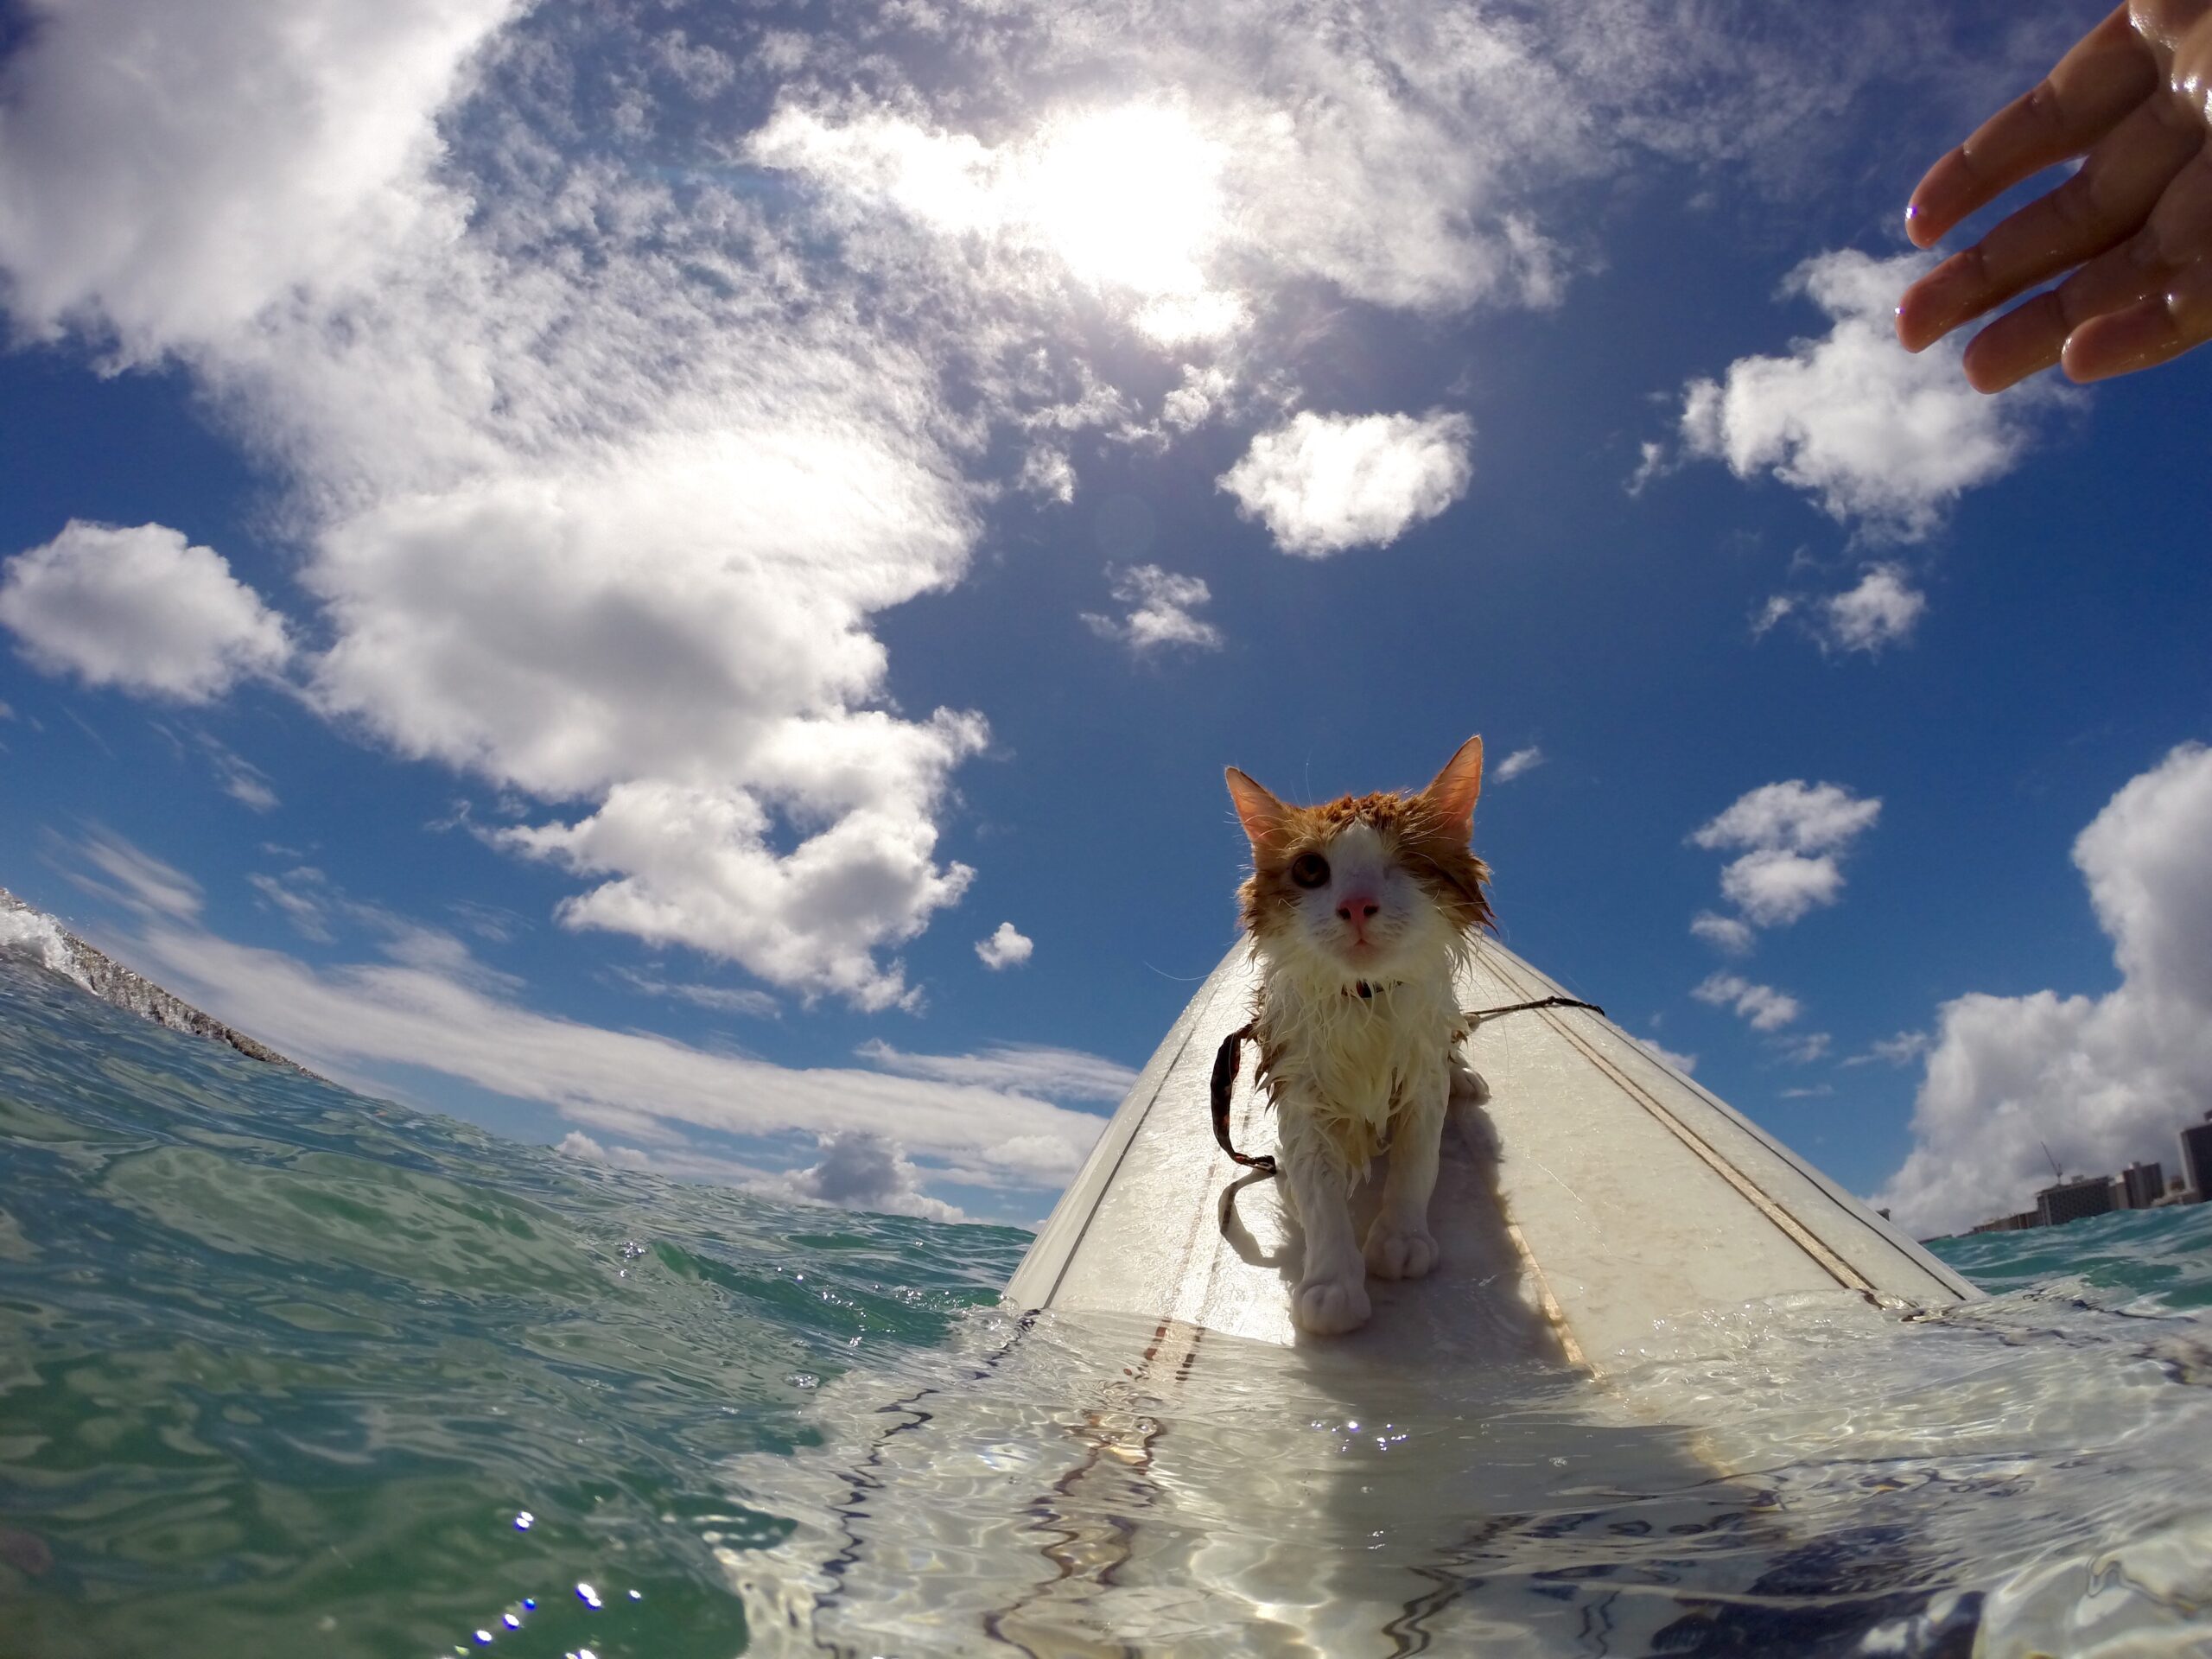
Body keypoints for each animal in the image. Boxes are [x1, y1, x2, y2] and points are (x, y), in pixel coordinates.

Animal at [1221, 739, 1495, 1336]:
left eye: (1407, 861)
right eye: (1310, 870)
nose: (1355, 905)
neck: (1365, 1000)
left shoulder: (1421, 1074)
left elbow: (1418, 1161)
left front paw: (1401, 1238)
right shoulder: (1299, 1081)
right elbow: (1319, 1191)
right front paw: (1331, 1282)